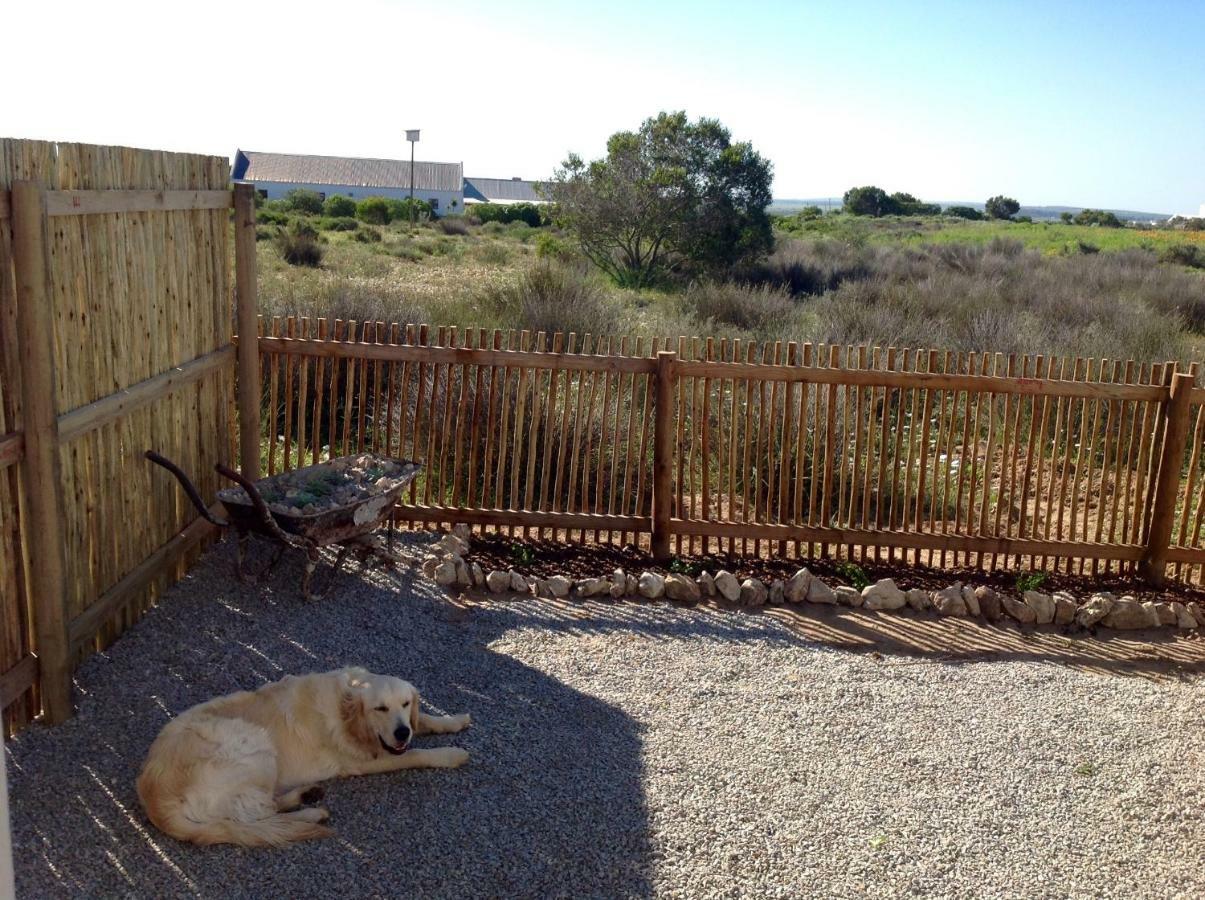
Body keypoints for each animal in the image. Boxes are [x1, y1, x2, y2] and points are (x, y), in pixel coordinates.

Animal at [135, 665, 465, 848]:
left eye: (406, 703)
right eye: (380, 708)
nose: (401, 732)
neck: (345, 707)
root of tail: (153, 797)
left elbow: (426, 720)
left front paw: (455, 720)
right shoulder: (365, 761)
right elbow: (417, 754)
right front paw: (451, 754)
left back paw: (306, 796)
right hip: (253, 745)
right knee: (258, 815)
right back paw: (311, 813)